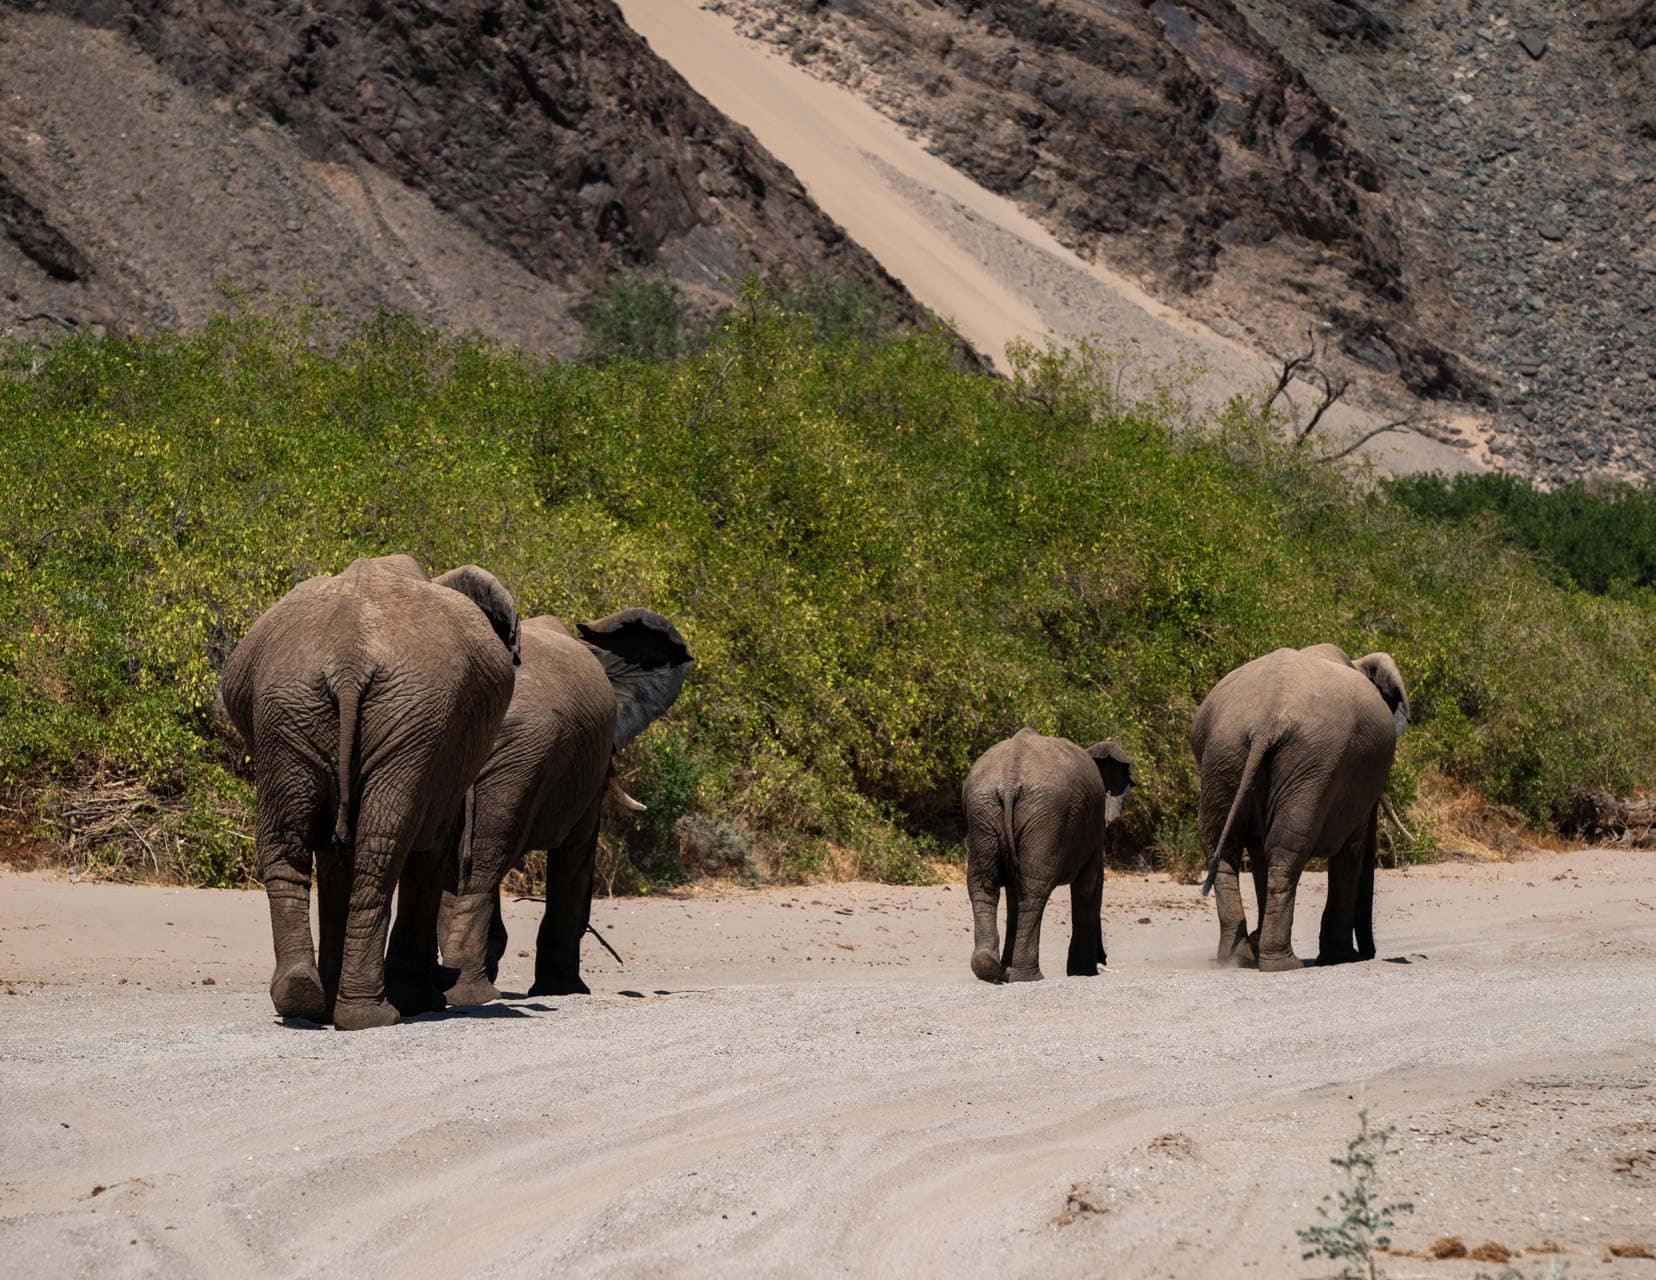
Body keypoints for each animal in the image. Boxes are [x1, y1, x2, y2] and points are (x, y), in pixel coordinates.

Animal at [220, 553, 516, 1033]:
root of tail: (347, 663)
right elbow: (431, 850)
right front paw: (422, 1001)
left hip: (296, 711)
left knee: (291, 843)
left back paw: (305, 998)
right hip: (397, 716)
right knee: (382, 850)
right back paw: (372, 1015)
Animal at [960, 728, 1139, 980]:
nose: (1103, 959)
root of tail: (1009, 779)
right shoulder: (1094, 827)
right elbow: (1090, 884)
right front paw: (1084, 973)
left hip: (983, 812)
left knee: (984, 885)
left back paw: (993, 969)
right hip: (1044, 817)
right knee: (1034, 889)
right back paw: (1028, 977)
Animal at [1192, 639, 1410, 967]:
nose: (1369, 954)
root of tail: (1266, 720)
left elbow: (1260, 848)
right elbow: (1352, 847)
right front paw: (1341, 957)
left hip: (1226, 753)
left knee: (1226, 847)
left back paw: (1236, 957)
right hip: (1307, 760)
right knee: (1286, 851)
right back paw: (1281, 963)